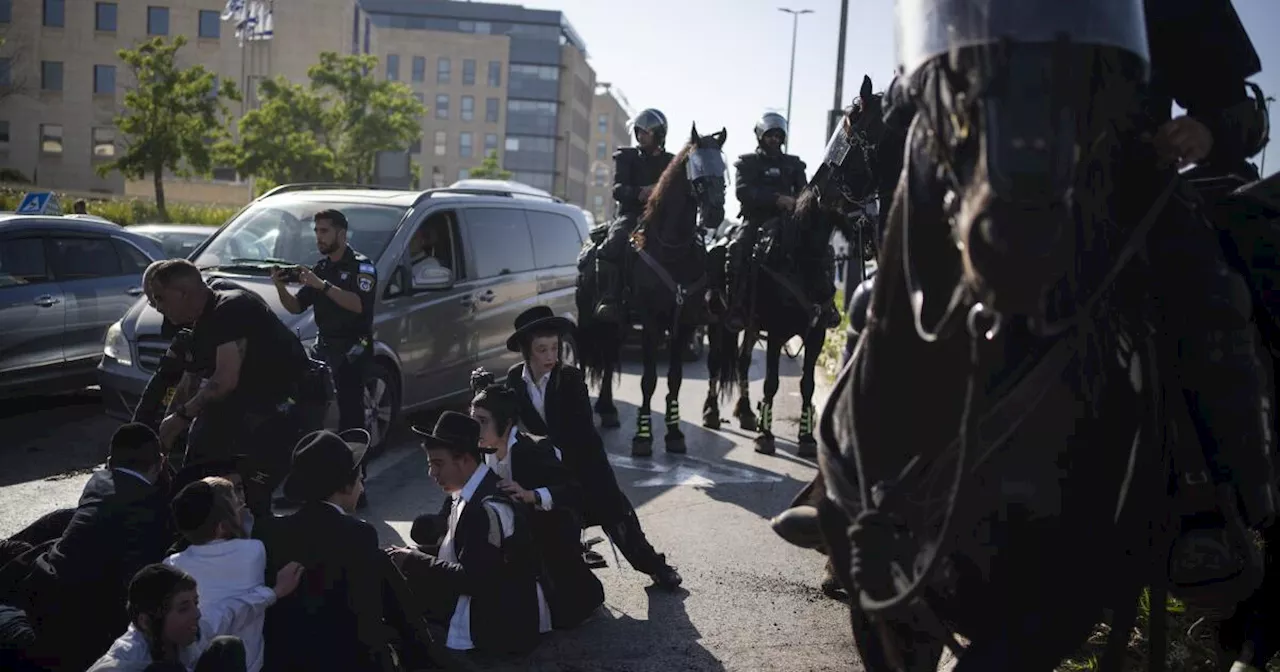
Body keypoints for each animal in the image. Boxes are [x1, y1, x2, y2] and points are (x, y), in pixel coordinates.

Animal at [583, 123, 727, 455]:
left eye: (723, 168)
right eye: (697, 167)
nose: (715, 213)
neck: (672, 249)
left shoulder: (684, 322)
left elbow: (674, 378)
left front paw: (674, 434)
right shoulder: (650, 320)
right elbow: (648, 379)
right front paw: (643, 436)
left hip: (619, 323)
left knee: (609, 357)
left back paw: (608, 409)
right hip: (587, 317)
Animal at [706, 75, 885, 458]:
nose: (873, 230)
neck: (800, 256)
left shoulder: (816, 333)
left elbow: (805, 384)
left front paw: (805, 437)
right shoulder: (775, 331)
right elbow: (772, 382)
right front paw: (766, 435)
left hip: (750, 325)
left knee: (743, 359)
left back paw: (745, 412)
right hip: (716, 321)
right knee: (716, 361)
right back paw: (713, 411)